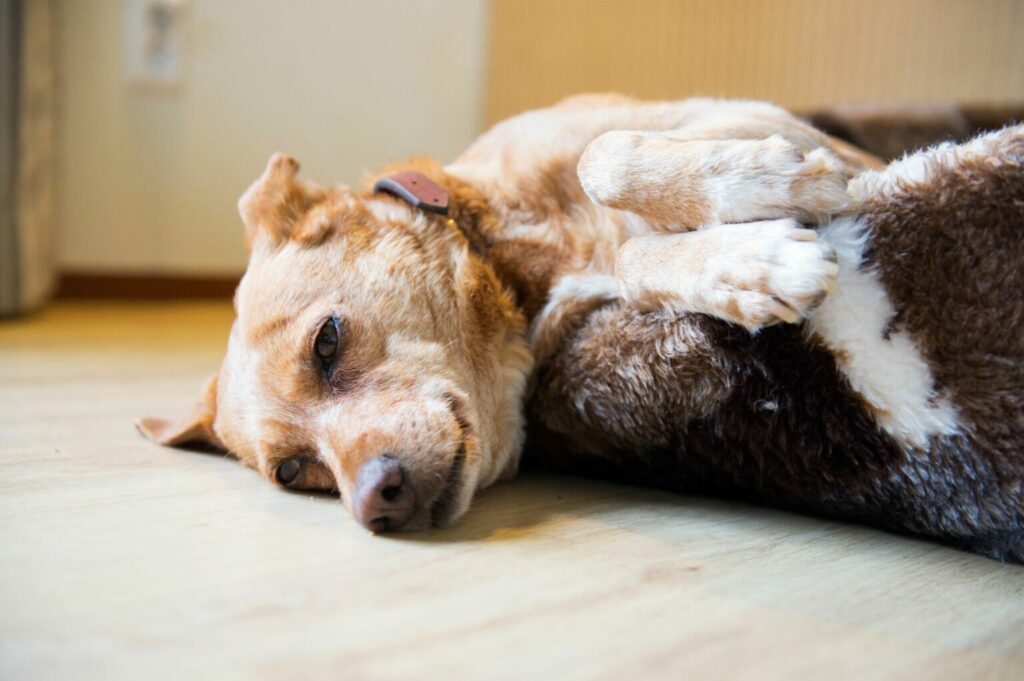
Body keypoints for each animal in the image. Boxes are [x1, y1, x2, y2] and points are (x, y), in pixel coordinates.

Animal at [138, 96, 1024, 561]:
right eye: (296, 473)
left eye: (326, 342)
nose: (374, 504)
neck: (519, 261)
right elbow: (633, 255)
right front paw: (743, 262)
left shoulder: (754, 119)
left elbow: (606, 155)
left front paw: (757, 186)